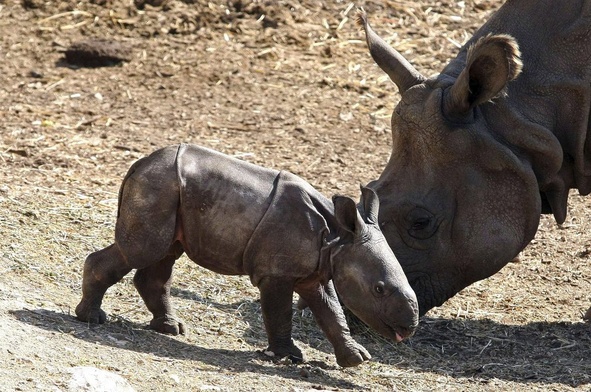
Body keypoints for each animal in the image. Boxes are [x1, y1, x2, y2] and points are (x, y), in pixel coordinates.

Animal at [76, 144, 420, 368]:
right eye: (379, 289)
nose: (409, 328)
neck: (337, 239)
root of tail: (138, 164)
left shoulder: (315, 273)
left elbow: (332, 312)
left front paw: (357, 360)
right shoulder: (276, 272)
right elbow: (280, 313)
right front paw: (289, 357)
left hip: (169, 193)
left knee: (164, 254)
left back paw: (171, 328)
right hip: (158, 186)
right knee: (142, 249)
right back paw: (92, 318)